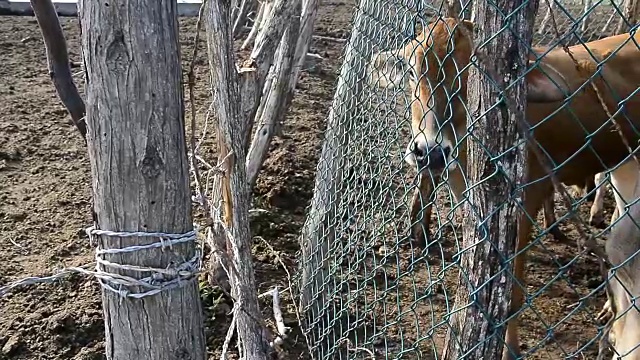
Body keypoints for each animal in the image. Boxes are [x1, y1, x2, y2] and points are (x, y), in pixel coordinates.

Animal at [368, 17, 640, 360]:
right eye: (412, 70)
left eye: (473, 76)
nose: (429, 151)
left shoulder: (526, 203)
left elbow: (513, 294)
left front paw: (510, 349)